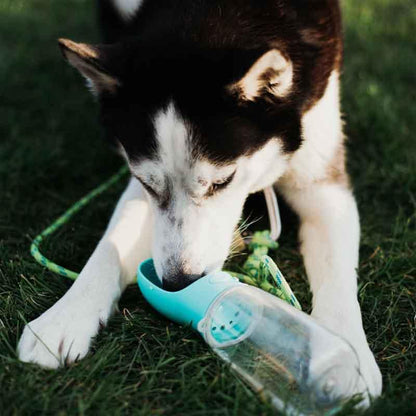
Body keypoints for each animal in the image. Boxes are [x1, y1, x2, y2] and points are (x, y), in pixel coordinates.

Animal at [19, 0, 384, 404]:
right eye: (146, 183)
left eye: (223, 181)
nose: (178, 282)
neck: (214, 12)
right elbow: (109, 246)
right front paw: (65, 316)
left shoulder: (323, 184)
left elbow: (337, 274)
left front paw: (347, 355)